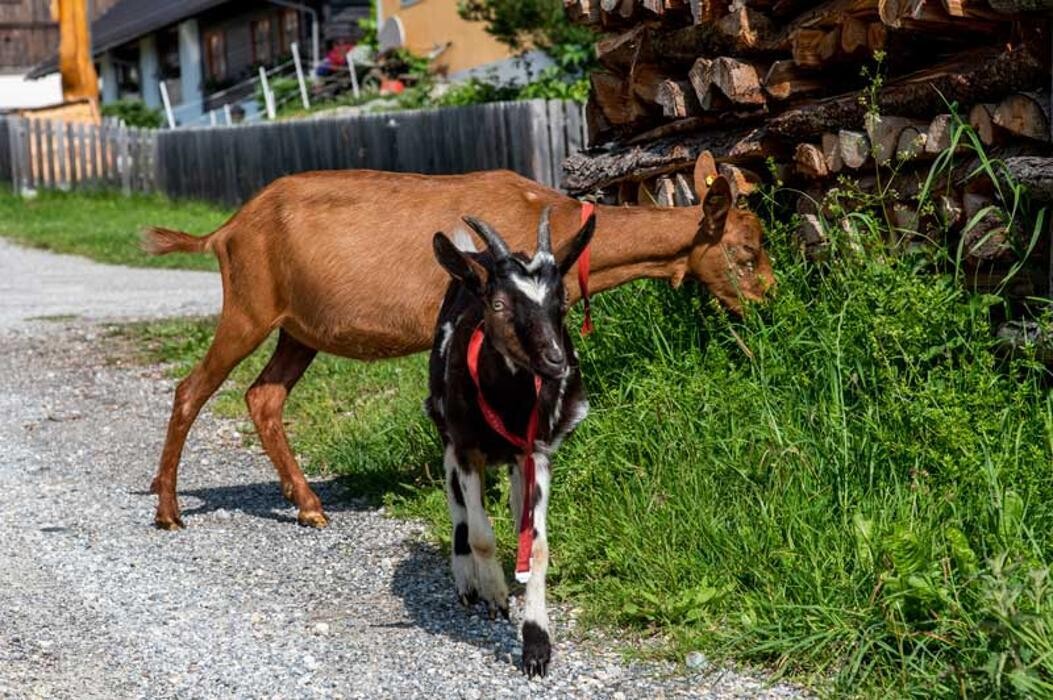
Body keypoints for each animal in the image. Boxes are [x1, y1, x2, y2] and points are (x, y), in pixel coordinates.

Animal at [144, 154, 775, 530]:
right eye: (746, 253)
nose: (768, 308)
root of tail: (226, 229)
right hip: (248, 305)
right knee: (191, 389)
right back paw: (169, 508)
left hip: (299, 329)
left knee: (263, 397)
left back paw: (308, 506)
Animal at [425, 207, 593, 677]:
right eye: (498, 305)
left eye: (562, 302)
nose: (556, 361)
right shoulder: (466, 449)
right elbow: (481, 534)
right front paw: (494, 594)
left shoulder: (536, 452)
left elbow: (536, 545)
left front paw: (536, 644)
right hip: (448, 440)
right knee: (459, 513)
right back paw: (468, 581)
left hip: (519, 461)